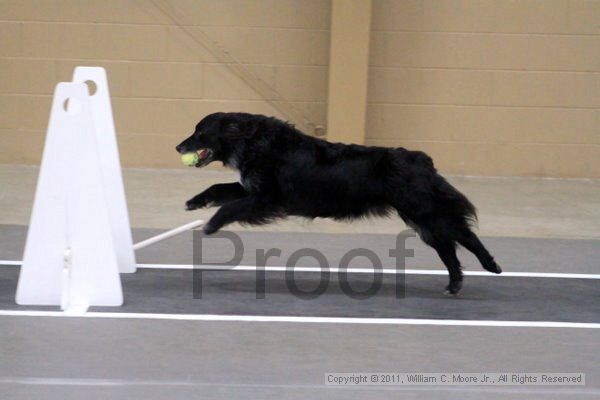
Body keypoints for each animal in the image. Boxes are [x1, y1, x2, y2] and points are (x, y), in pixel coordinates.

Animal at [177, 111, 502, 294]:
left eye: (200, 131)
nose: (178, 146)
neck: (257, 142)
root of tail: (423, 160)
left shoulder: (268, 198)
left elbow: (230, 207)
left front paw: (211, 225)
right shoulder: (252, 189)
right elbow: (219, 188)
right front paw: (195, 202)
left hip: (426, 212)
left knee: (465, 236)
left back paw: (491, 266)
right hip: (422, 219)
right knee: (448, 247)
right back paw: (455, 284)